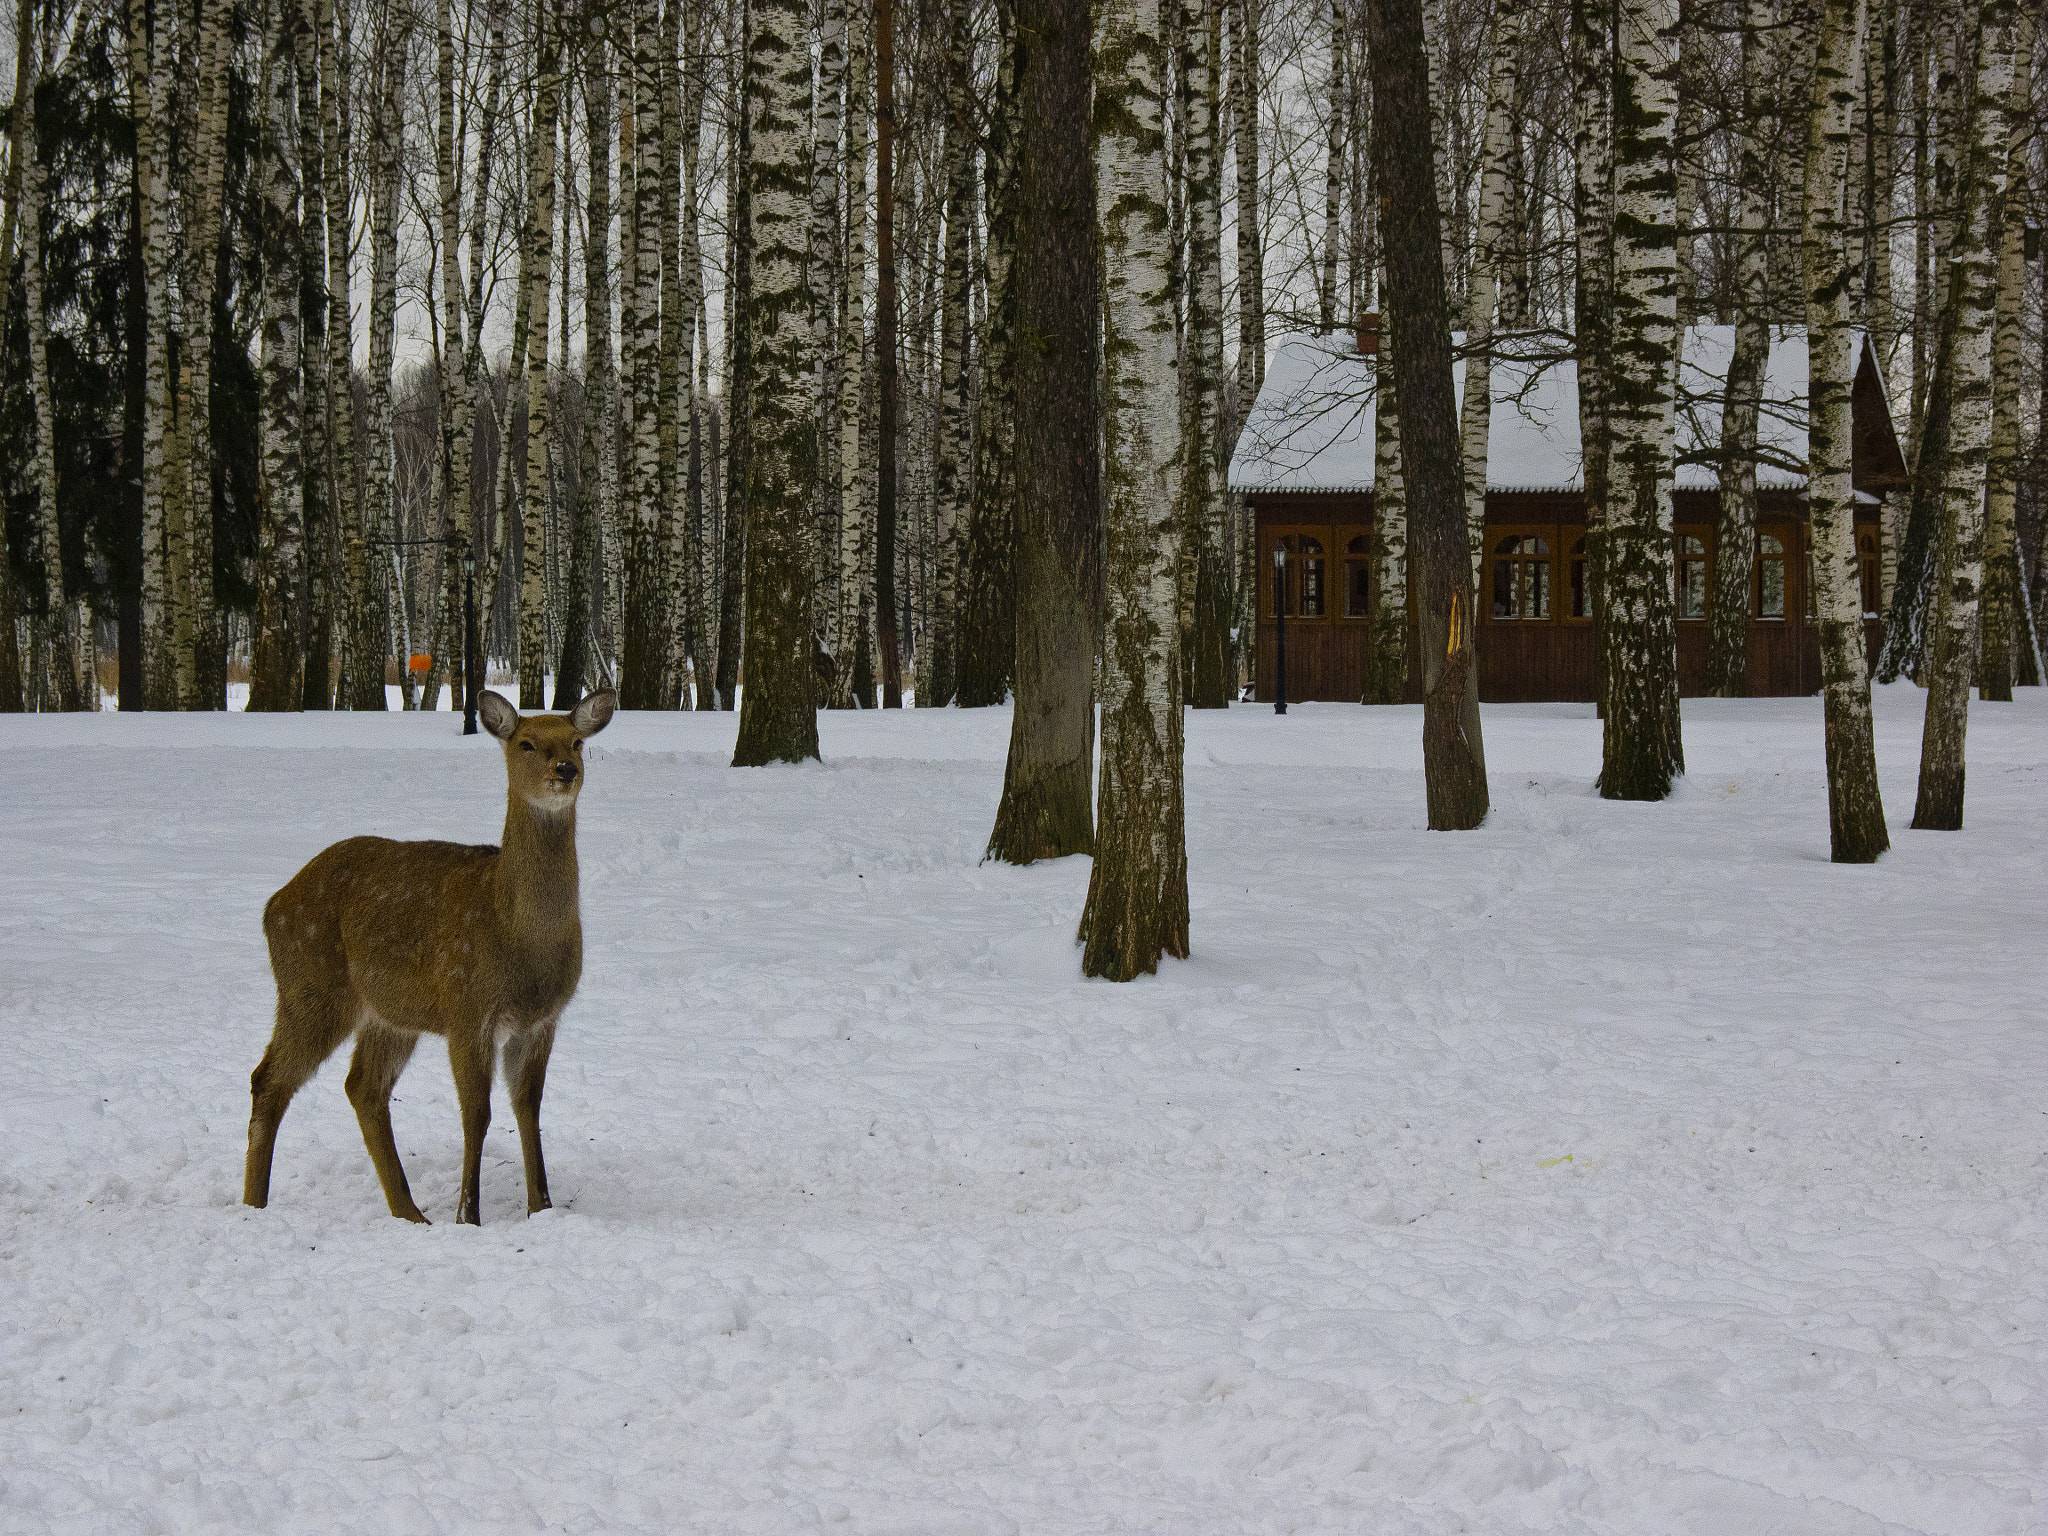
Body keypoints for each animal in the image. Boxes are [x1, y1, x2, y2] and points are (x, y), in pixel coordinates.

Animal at [244, 692, 610, 1236]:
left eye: (578, 741)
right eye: (526, 743)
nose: (565, 770)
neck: (519, 939)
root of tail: (273, 905)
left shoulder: (542, 1019)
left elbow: (528, 1108)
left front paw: (542, 1209)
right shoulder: (466, 1008)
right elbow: (476, 1113)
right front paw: (468, 1218)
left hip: (389, 1014)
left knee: (362, 1087)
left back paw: (410, 1213)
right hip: (311, 987)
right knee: (268, 1078)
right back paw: (253, 1206)